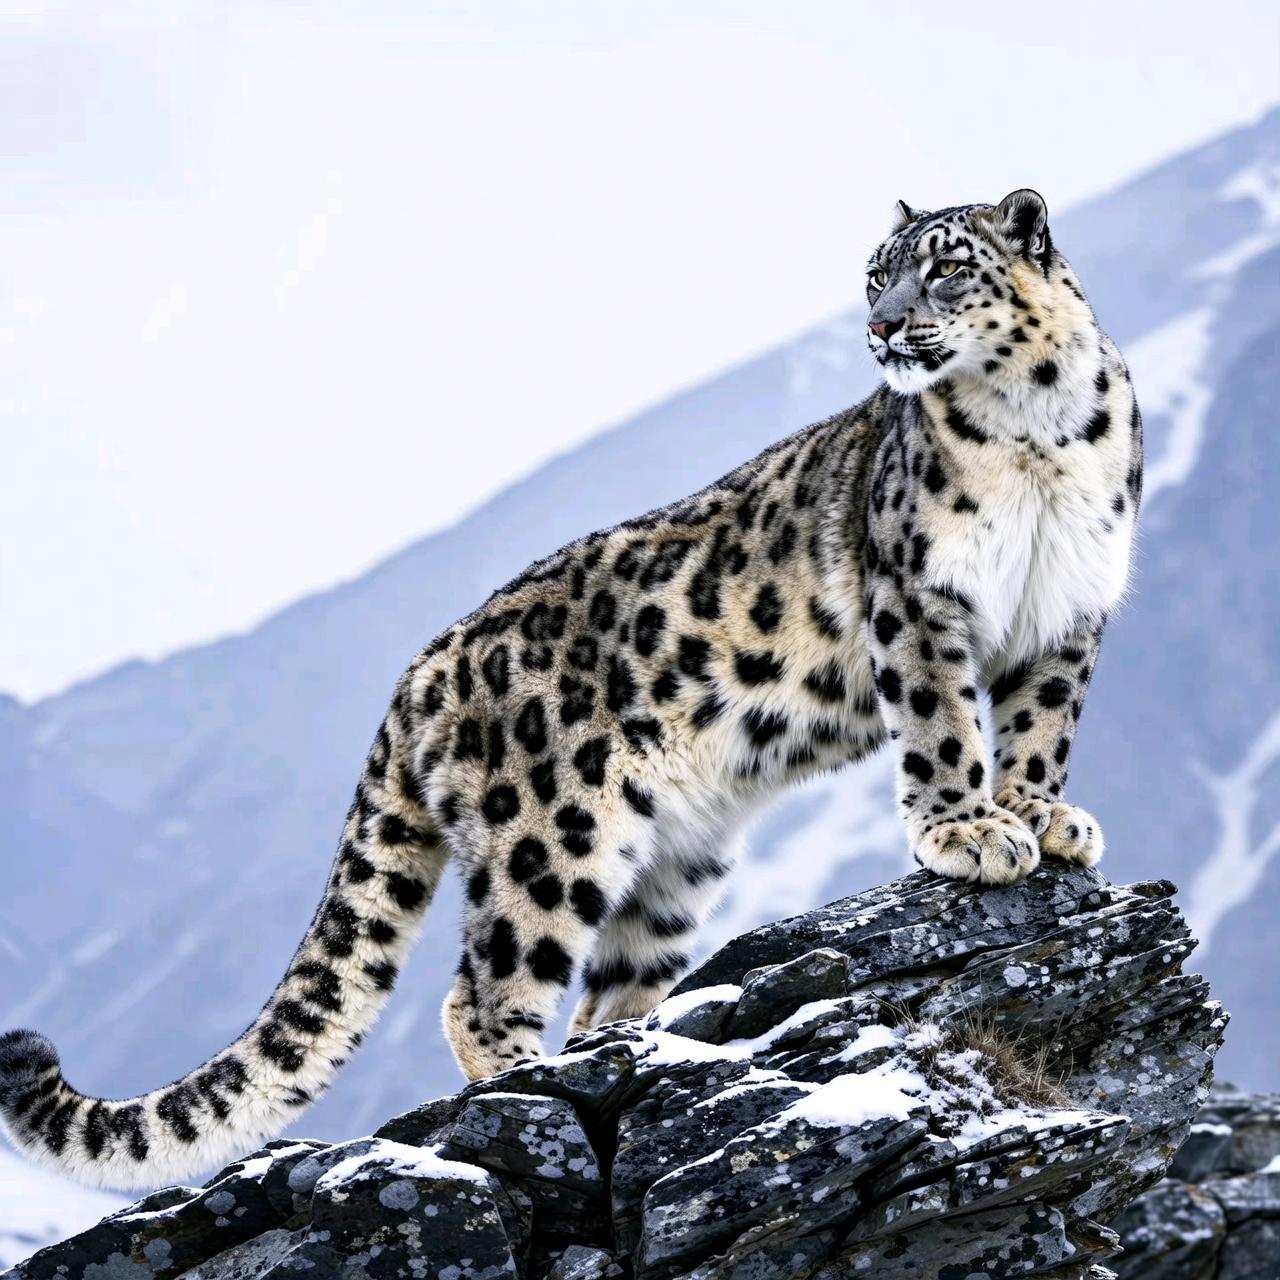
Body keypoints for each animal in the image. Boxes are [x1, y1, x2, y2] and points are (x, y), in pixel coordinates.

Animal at [0, 189, 1142, 1189]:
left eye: (944, 267)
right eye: (874, 272)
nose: (882, 324)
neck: (1033, 427)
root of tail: (423, 667)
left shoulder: (1069, 608)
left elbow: (1039, 726)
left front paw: (1042, 817)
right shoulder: (916, 595)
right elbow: (944, 721)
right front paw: (967, 831)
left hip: (676, 864)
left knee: (603, 997)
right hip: (551, 834)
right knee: (485, 989)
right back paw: (530, 1091)